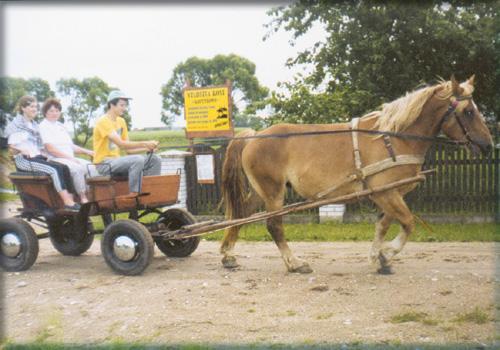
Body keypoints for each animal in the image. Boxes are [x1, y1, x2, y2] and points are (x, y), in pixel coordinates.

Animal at [220, 76, 492, 274]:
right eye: (468, 111)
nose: (488, 146)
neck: (393, 138)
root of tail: (254, 135)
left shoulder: (389, 193)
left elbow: (383, 225)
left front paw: (378, 258)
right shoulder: (386, 193)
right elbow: (408, 222)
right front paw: (387, 254)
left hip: (260, 192)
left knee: (241, 215)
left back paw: (227, 255)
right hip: (273, 192)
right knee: (274, 225)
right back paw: (294, 263)